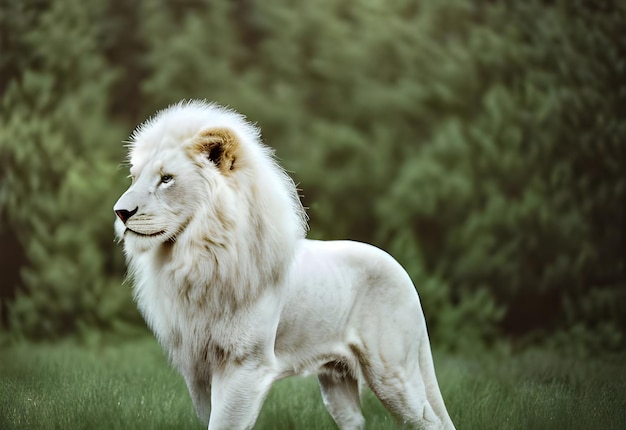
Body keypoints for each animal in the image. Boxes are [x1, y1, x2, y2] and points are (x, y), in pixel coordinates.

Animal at [113, 101, 454, 430]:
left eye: (166, 179)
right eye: (134, 177)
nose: (120, 212)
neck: (196, 257)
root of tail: (400, 269)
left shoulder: (246, 364)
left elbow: (223, 423)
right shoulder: (197, 369)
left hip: (392, 373)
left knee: (431, 421)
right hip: (337, 381)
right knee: (355, 420)